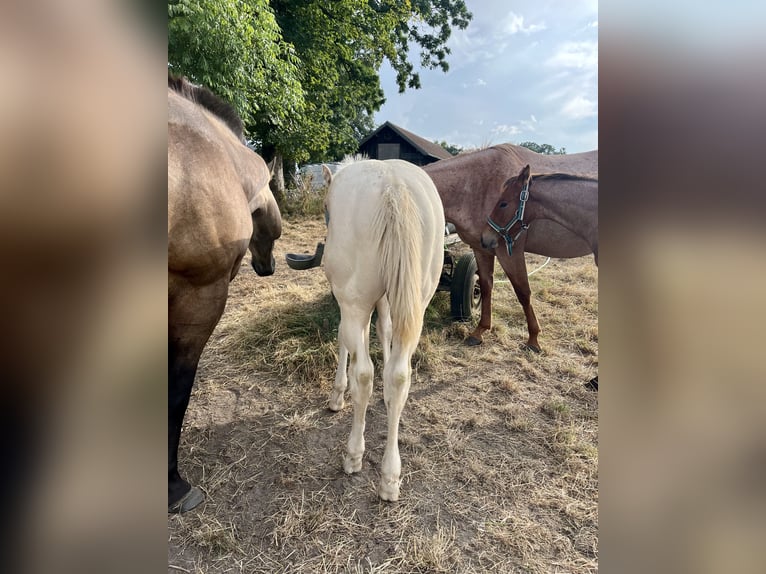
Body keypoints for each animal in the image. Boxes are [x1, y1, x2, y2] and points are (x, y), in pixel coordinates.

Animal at [322, 159, 444, 504]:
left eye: (325, 208)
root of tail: (393, 187)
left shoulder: (347, 304)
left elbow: (345, 341)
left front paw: (338, 395)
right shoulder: (390, 299)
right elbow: (386, 330)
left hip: (356, 301)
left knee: (364, 374)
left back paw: (354, 455)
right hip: (418, 298)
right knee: (400, 375)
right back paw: (391, 477)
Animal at [426, 146, 600, 348]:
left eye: (503, 204)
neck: (478, 183)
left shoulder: (510, 251)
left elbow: (523, 292)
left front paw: (533, 338)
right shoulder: (481, 248)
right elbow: (485, 287)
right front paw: (480, 331)